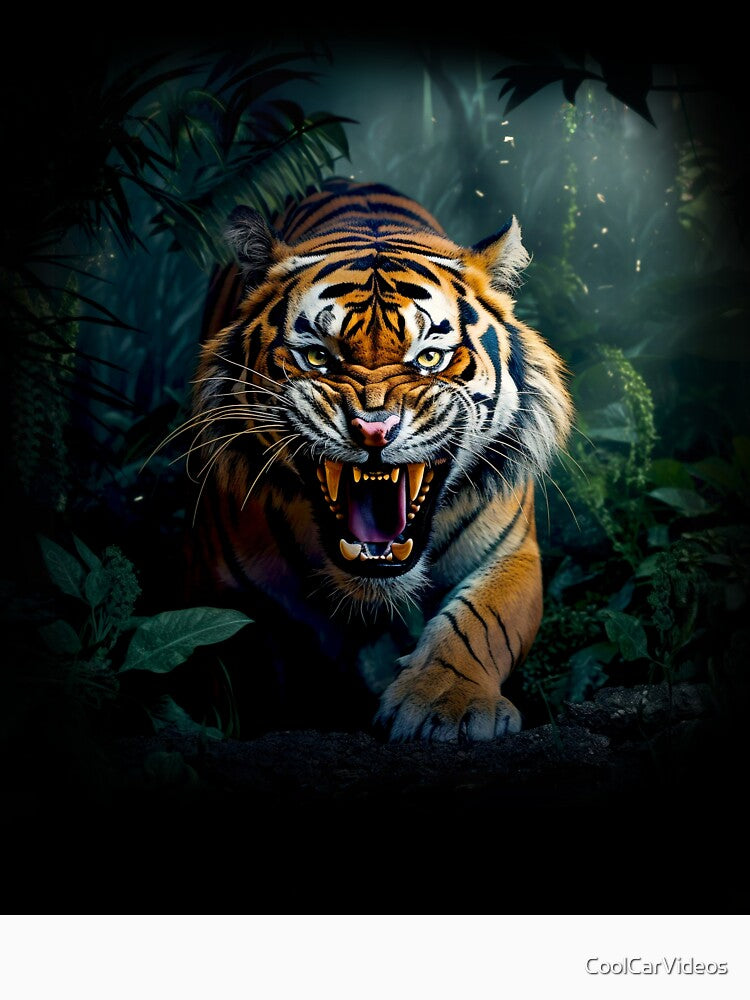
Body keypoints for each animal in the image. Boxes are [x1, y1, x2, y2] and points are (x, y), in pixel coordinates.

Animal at [188, 179, 572, 741]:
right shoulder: (225, 588)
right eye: (318, 357)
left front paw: (446, 706)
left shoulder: (511, 553)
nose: (374, 429)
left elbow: (481, 623)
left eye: (429, 358)